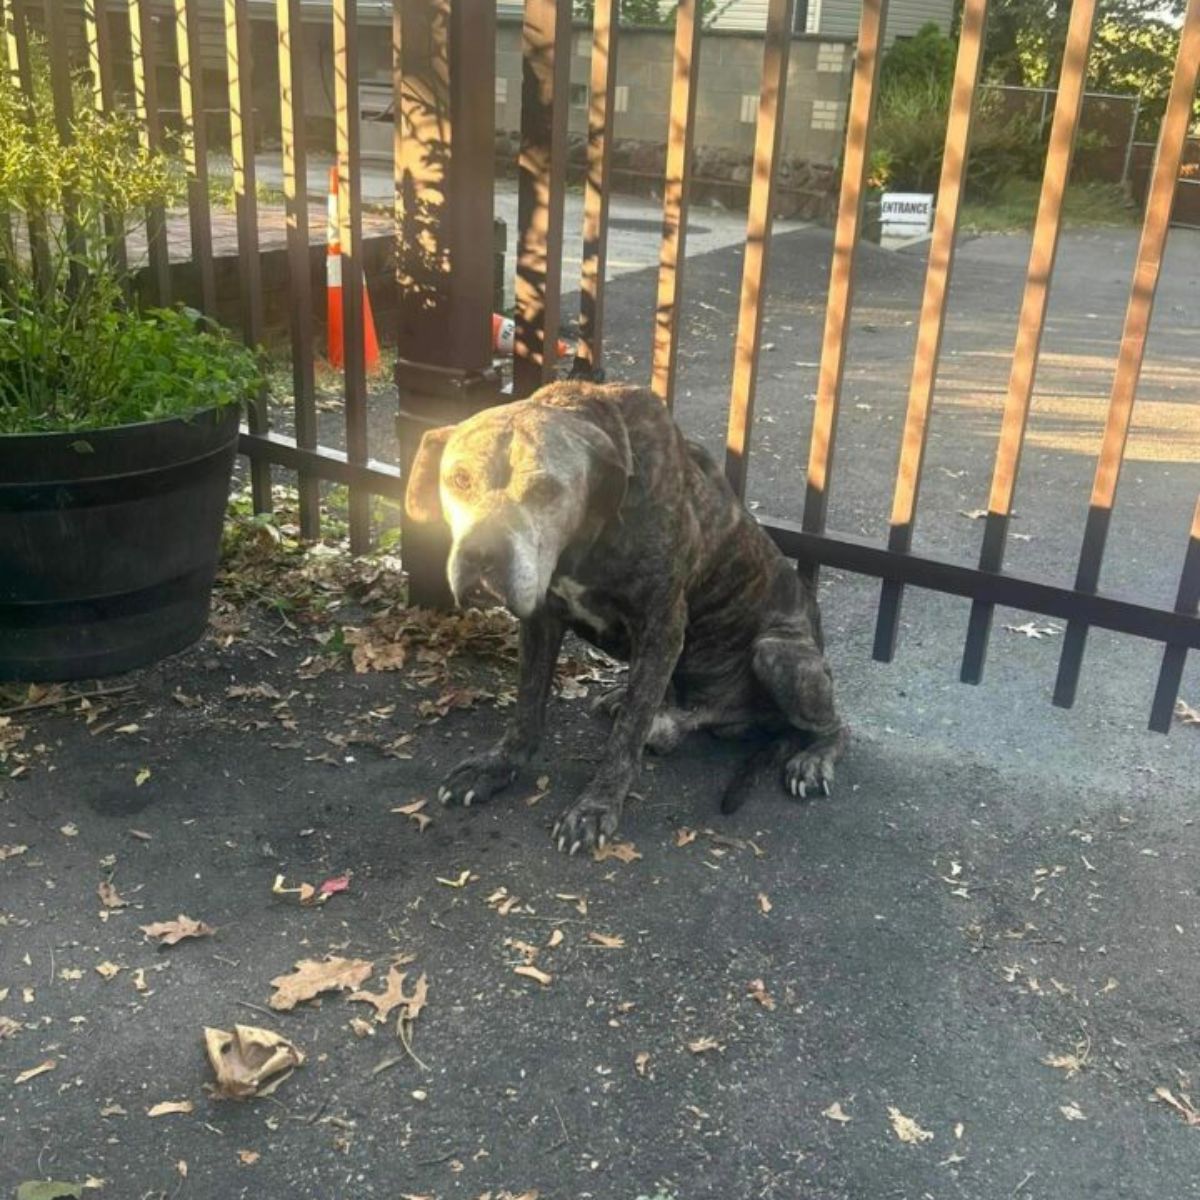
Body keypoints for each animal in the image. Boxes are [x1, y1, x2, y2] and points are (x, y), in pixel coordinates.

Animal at [408, 384, 849, 854]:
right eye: (459, 479)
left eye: (546, 490)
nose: (482, 554)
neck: (588, 535)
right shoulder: (541, 619)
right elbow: (527, 705)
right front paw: (498, 765)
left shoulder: (662, 628)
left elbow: (626, 736)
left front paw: (596, 806)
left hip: (778, 654)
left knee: (836, 726)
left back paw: (812, 759)